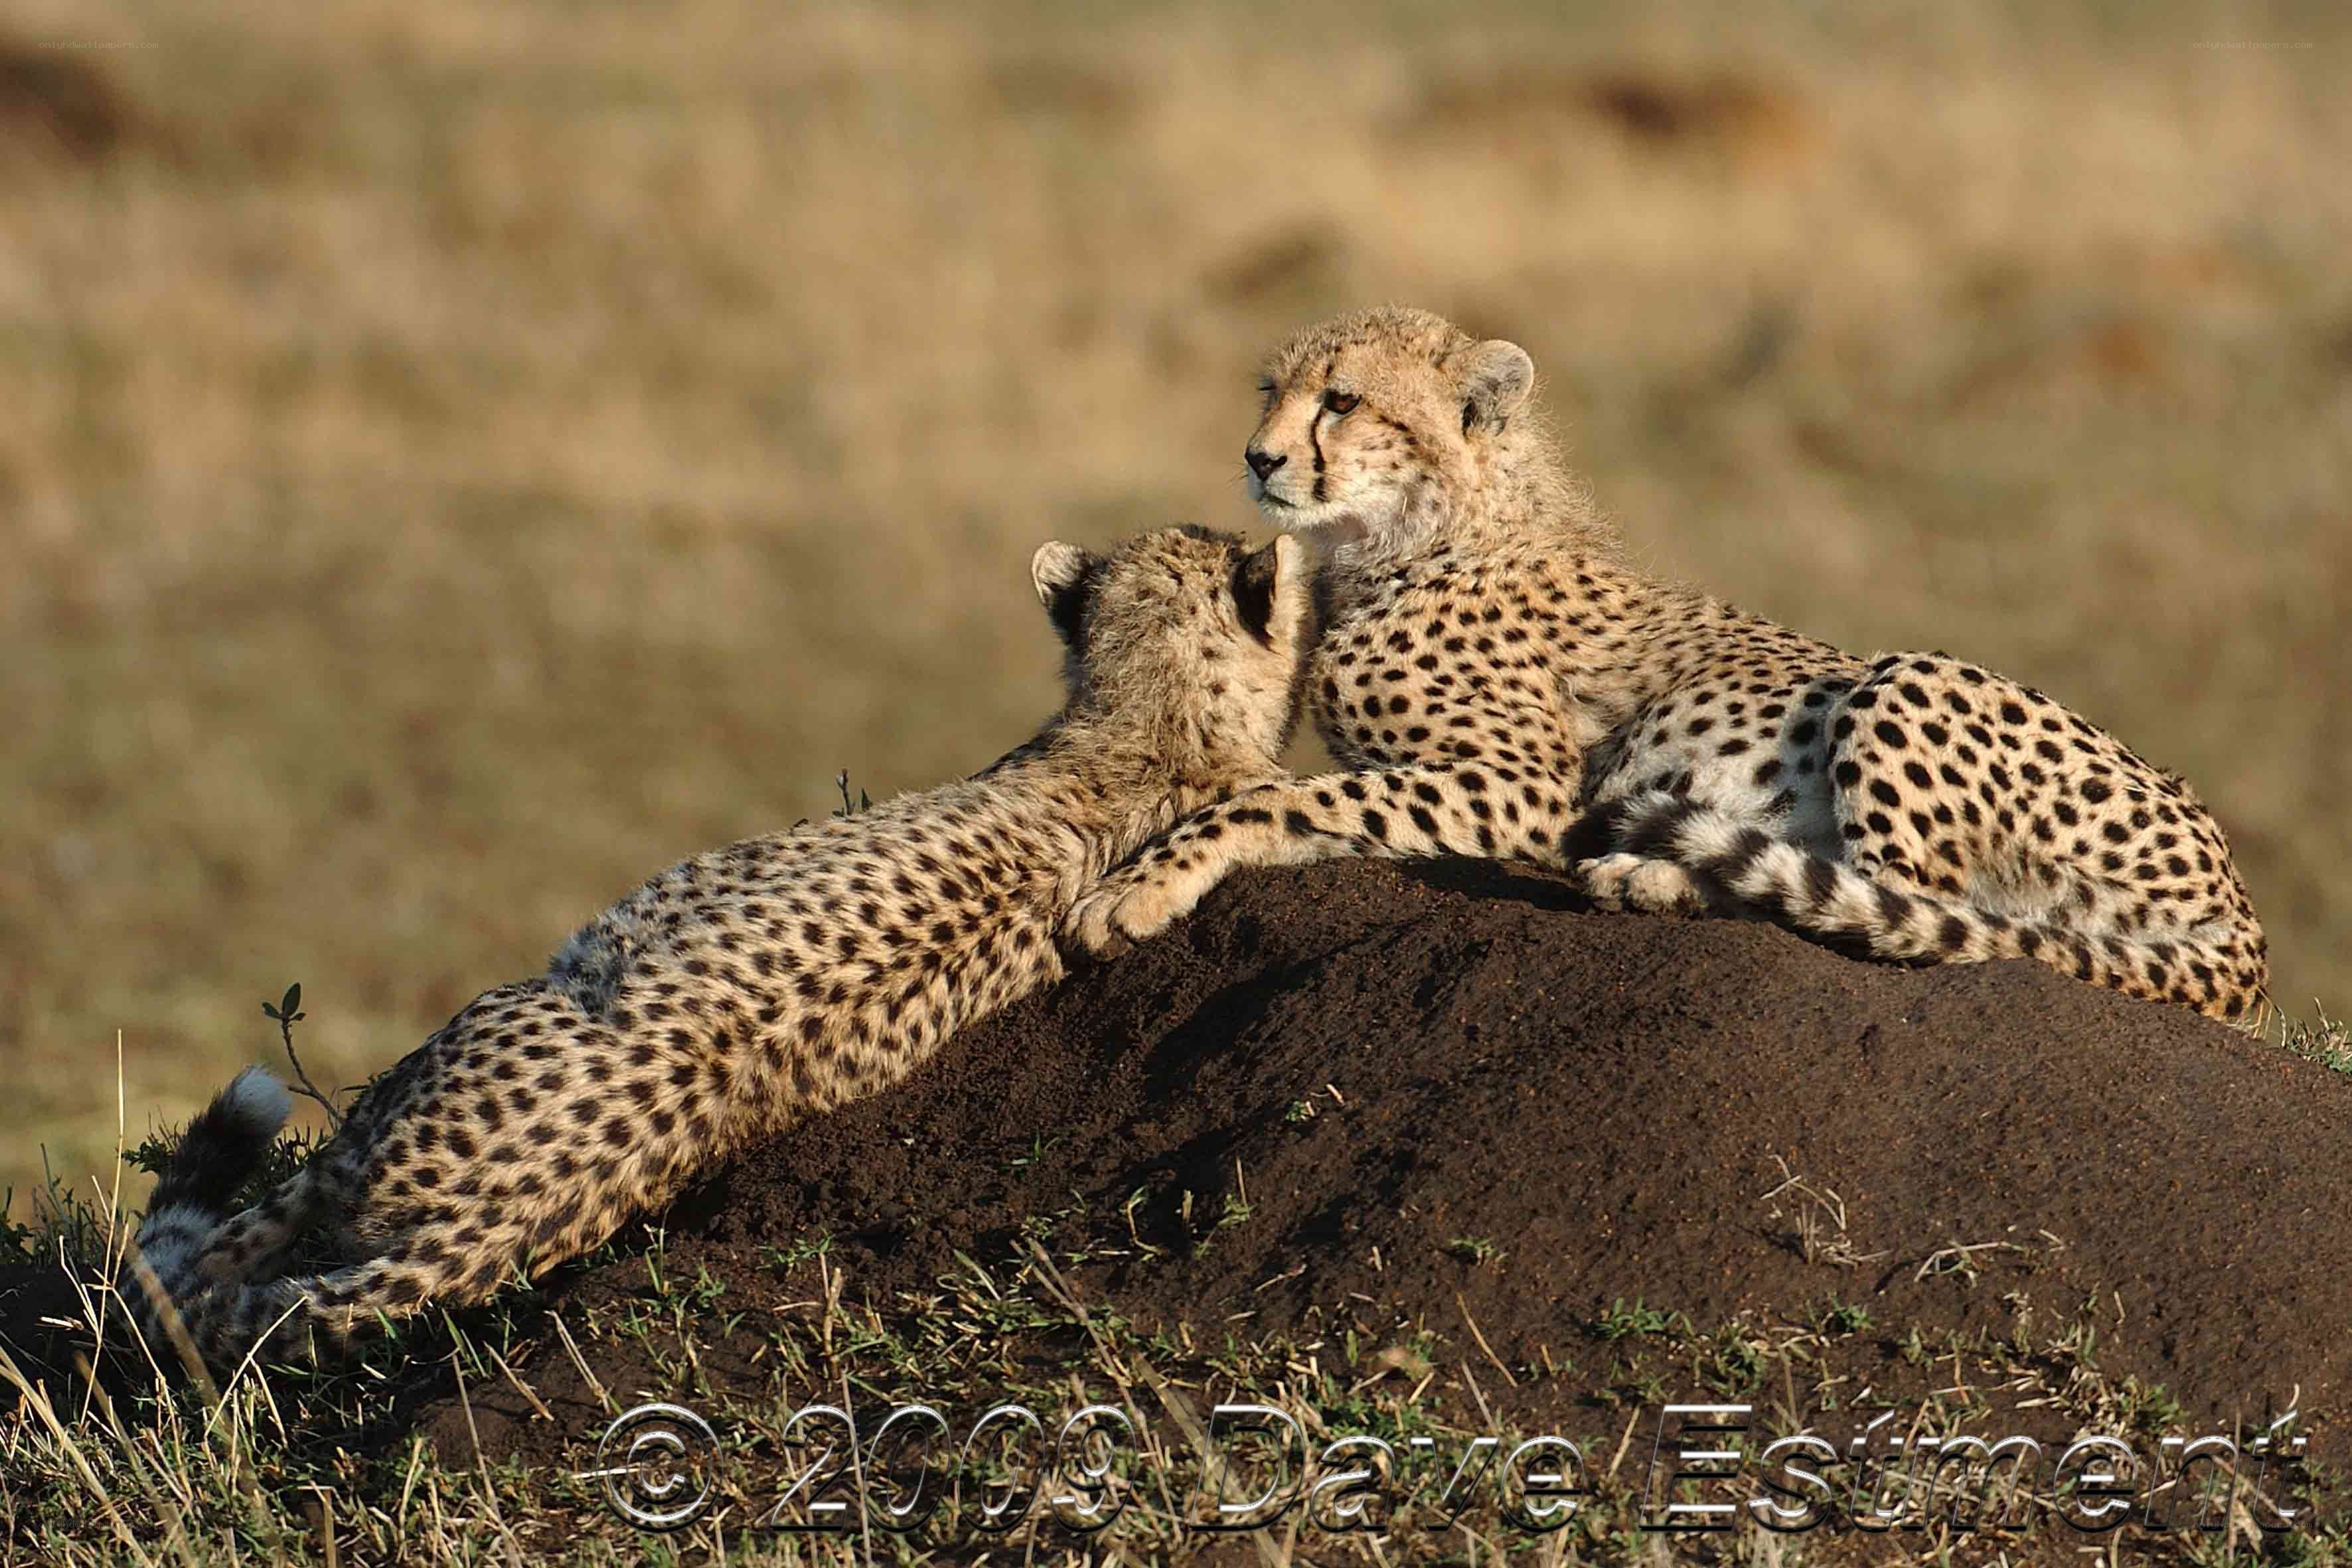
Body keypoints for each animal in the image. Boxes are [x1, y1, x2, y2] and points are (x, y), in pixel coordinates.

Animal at [1065, 305, 2269, 1025]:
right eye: (1265, 392)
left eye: (1342, 400)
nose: (1258, 458)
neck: (1417, 532)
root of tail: (2244, 931)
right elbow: (1303, 796)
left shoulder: (1524, 786)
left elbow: (1280, 801)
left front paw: (1133, 891)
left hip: (1905, 678)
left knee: (1905, 915)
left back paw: (1658, 873)